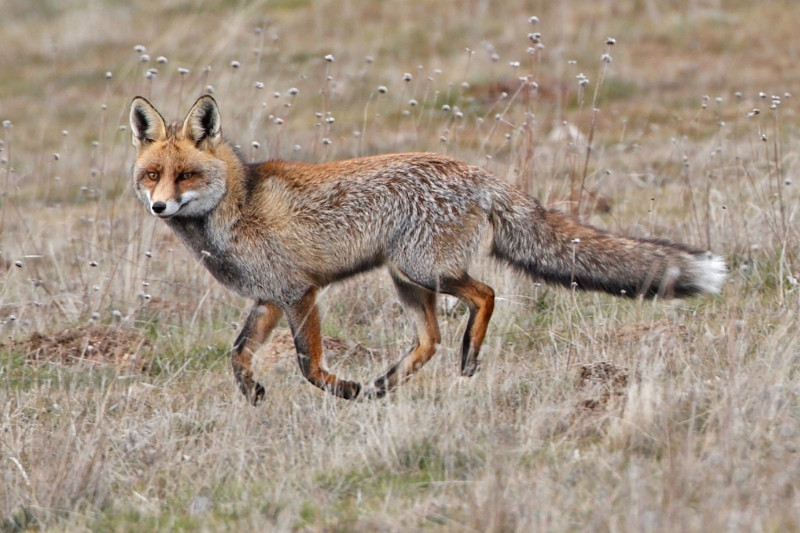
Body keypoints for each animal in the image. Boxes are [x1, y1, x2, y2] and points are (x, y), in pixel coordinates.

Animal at [130, 94, 724, 404]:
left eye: (186, 176)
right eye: (153, 175)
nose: (159, 207)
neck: (237, 205)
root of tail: (475, 172)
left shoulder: (300, 292)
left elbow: (306, 363)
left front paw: (341, 390)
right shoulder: (270, 298)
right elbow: (237, 353)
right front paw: (254, 393)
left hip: (423, 269)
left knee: (484, 296)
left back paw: (465, 357)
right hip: (407, 279)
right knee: (431, 339)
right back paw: (385, 384)